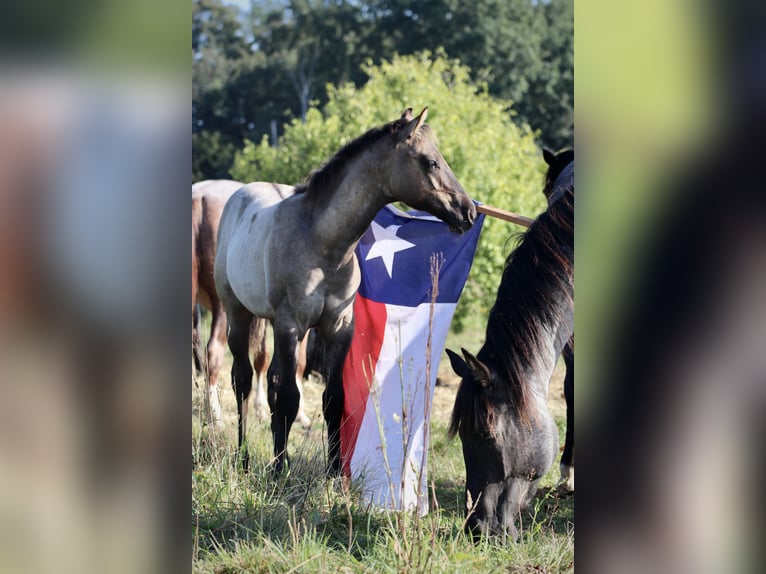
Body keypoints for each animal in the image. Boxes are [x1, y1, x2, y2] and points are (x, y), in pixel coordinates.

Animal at [192, 180, 312, 428]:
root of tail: (200, 197)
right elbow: (294, 363)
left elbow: (263, 358)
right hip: (225, 308)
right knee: (213, 352)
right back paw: (215, 414)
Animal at [216, 107, 476, 472]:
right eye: (431, 162)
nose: (468, 211)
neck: (322, 245)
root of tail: (239, 195)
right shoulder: (291, 326)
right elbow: (290, 398)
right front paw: (281, 470)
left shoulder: (337, 329)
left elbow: (333, 400)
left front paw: (335, 470)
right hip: (237, 314)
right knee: (242, 379)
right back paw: (244, 458)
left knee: (271, 382)